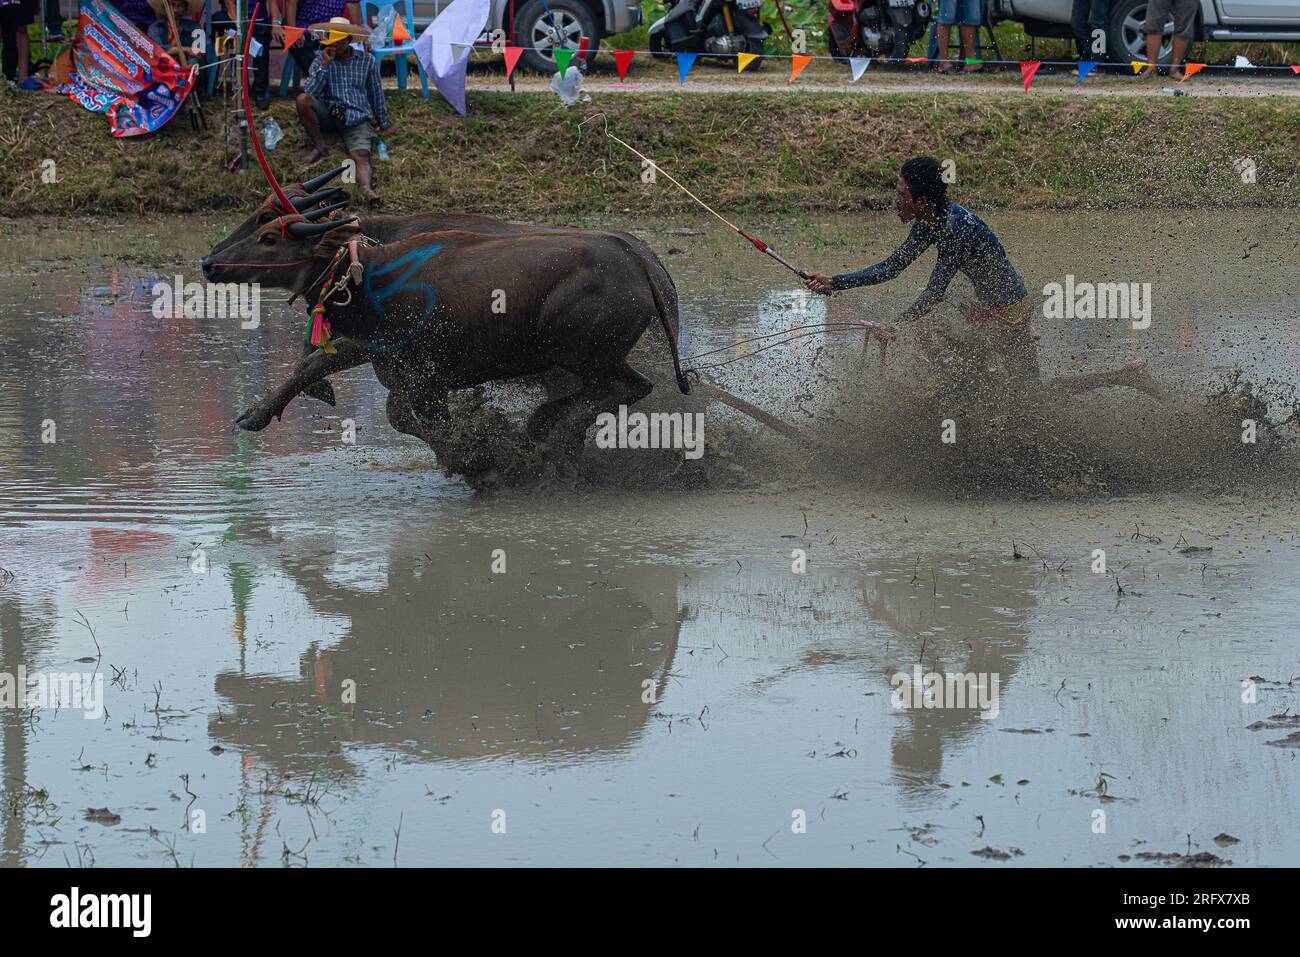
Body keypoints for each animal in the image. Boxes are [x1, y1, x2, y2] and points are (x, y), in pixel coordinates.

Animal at [202, 217, 686, 470]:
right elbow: (317, 368)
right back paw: (548, 431)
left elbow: (428, 423)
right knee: (611, 391)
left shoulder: (425, 378)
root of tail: (640, 260)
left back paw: (550, 434)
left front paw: (475, 463)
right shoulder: (381, 357)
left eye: (268, 237)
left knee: (628, 386)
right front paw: (254, 414)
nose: (209, 263)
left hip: (581, 352)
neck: (373, 279)